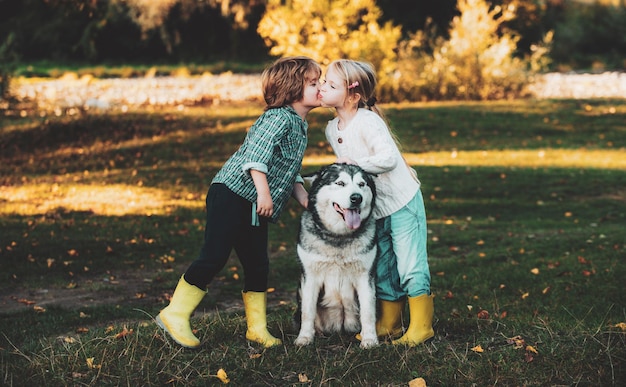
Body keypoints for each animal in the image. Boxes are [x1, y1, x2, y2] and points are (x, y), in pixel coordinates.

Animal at [292, 163, 376, 348]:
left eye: (361, 184)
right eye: (340, 183)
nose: (357, 198)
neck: (338, 237)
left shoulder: (365, 276)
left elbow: (368, 311)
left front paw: (369, 340)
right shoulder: (310, 277)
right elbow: (307, 311)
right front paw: (304, 338)